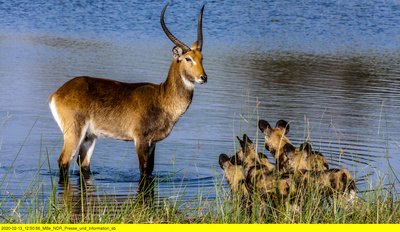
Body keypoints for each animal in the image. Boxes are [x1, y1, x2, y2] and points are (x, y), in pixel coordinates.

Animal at [48, 3, 208, 179]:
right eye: (188, 58)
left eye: (202, 58)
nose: (203, 77)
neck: (162, 97)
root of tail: (57, 93)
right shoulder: (141, 140)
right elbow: (143, 171)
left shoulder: (153, 143)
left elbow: (150, 170)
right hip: (74, 133)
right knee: (63, 162)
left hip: (89, 136)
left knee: (83, 164)